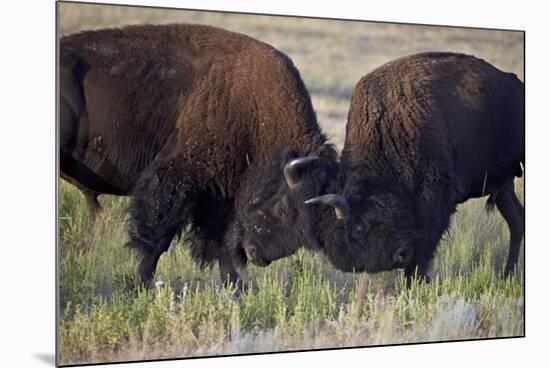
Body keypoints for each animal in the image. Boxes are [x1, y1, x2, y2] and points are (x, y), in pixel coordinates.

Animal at [59, 23, 336, 288]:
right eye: (284, 207)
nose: (257, 255)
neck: (258, 112)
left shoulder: (220, 195)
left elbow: (221, 242)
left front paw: (237, 287)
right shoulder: (178, 178)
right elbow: (159, 235)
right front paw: (143, 281)